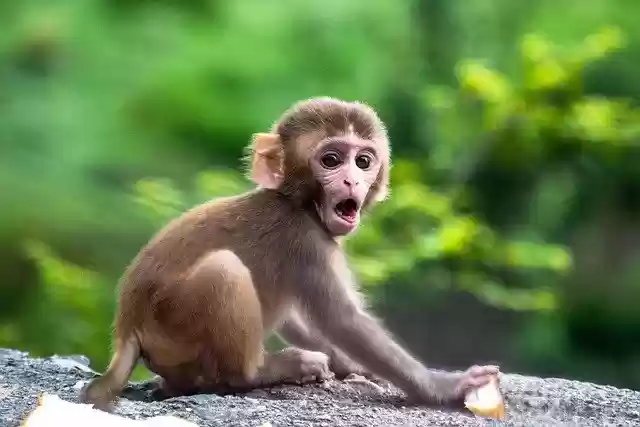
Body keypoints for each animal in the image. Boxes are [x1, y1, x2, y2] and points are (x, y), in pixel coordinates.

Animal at [79, 97, 499, 412]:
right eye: (331, 160)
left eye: (363, 161)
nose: (352, 181)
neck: (298, 202)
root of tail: (127, 328)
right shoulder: (305, 240)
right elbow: (341, 319)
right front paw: (441, 386)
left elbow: (299, 316)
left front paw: (348, 364)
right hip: (174, 325)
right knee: (224, 270)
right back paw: (262, 372)